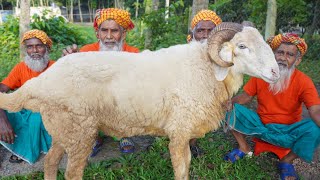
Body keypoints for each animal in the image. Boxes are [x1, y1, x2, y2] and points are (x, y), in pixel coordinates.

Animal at [0, 22, 278, 180]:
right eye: (241, 46)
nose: (275, 73)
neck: (205, 68)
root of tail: (43, 79)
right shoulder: (179, 131)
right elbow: (182, 168)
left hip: (64, 129)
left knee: (50, 163)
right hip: (79, 132)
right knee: (71, 173)